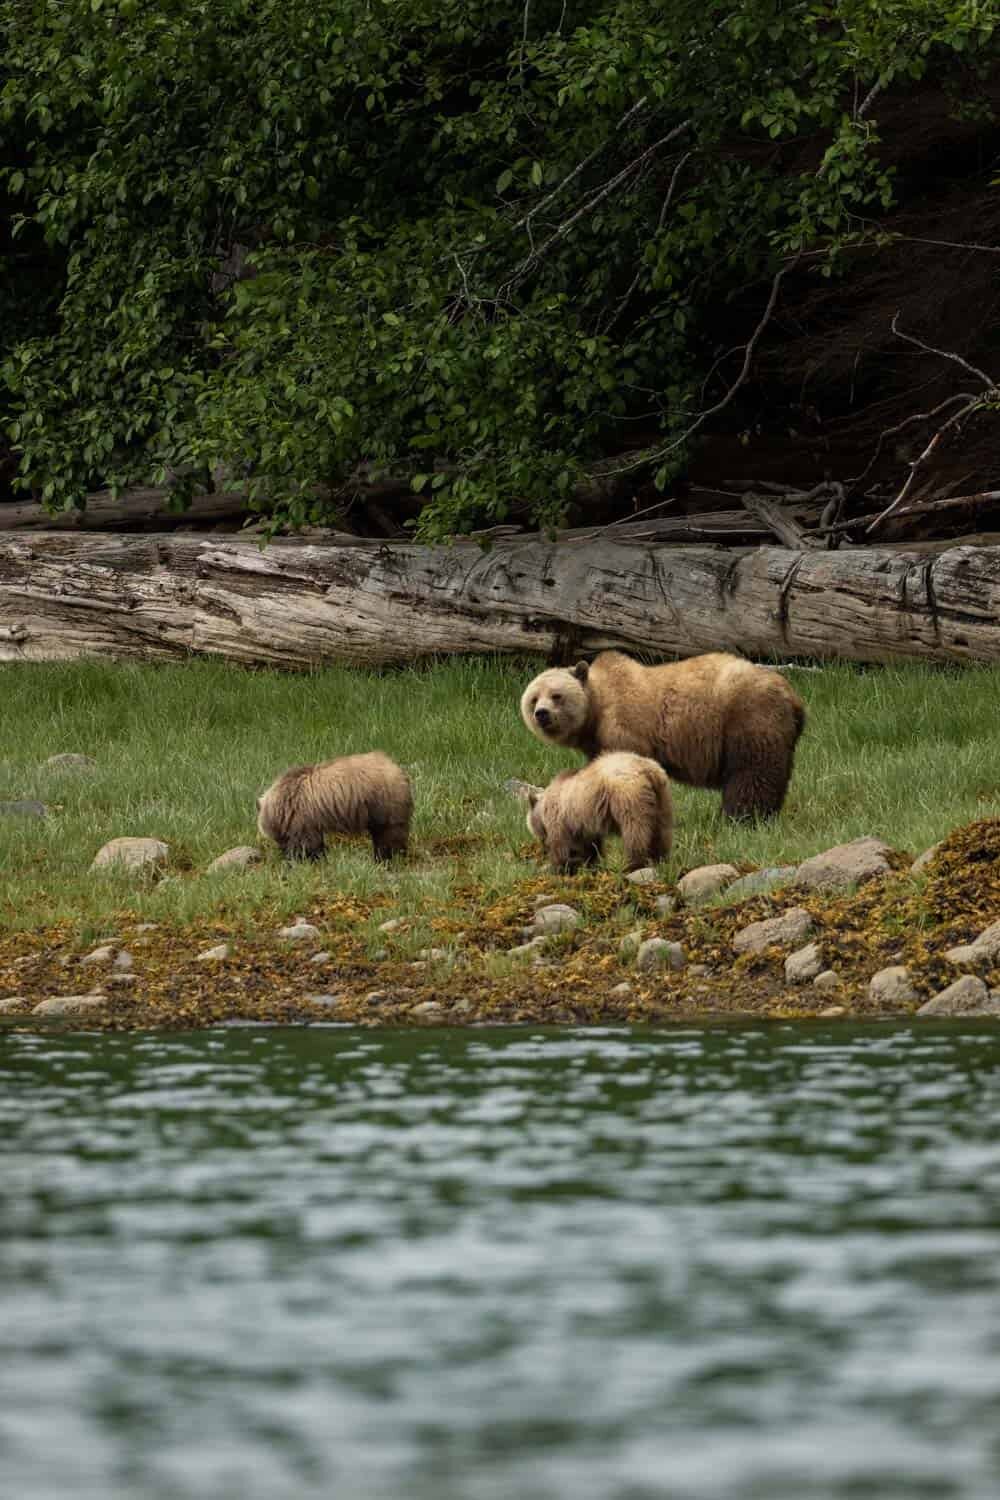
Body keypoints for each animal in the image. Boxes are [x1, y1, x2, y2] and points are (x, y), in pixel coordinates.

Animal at [262, 747, 413, 864]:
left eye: (279, 837)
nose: (282, 850)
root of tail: (398, 769)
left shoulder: (301, 816)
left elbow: (306, 843)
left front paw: (304, 859)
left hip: (383, 801)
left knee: (389, 834)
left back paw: (388, 857)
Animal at [524, 651, 803, 822]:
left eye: (556, 695)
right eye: (533, 698)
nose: (542, 714)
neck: (596, 711)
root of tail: (793, 696)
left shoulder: (623, 726)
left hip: (748, 716)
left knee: (752, 772)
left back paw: (739, 817)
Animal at [524, 756, 671, 876]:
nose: (543, 847)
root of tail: (648, 770)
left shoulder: (560, 818)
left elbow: (560, 844)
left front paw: (555, 866)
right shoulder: (584, 824)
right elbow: (590, 846)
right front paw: (589, 863)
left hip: (627, 796)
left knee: (635, 830)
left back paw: (633, 863)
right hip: (661, 799)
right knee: (661, 831)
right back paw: (660, 858)